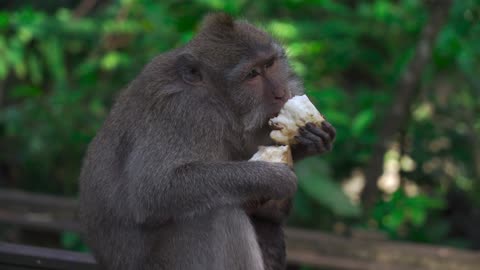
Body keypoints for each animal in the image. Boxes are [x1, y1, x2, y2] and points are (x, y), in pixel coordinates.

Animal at [78, 13, 334, 270]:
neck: (218, 101)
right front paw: (274, 178)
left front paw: (307, 142)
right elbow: (153, 189)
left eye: (270, 64)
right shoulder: (185, 112)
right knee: (218, 213)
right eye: (252, 74)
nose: (281, 93)